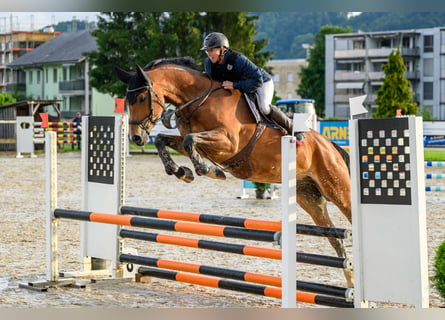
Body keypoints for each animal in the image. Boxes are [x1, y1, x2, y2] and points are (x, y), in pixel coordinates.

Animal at [116, 57, 352, 288]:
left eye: (142, 98)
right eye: (127, 101)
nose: (135, 138)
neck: (200, 100)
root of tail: (330, 146)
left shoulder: (228, 143)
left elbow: (189, 140)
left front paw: (207, 170)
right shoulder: (197, 143)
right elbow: (165, 140)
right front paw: (182, 171)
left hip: (336, 189)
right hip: (310, 198)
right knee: (334, 238)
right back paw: (350, 279)